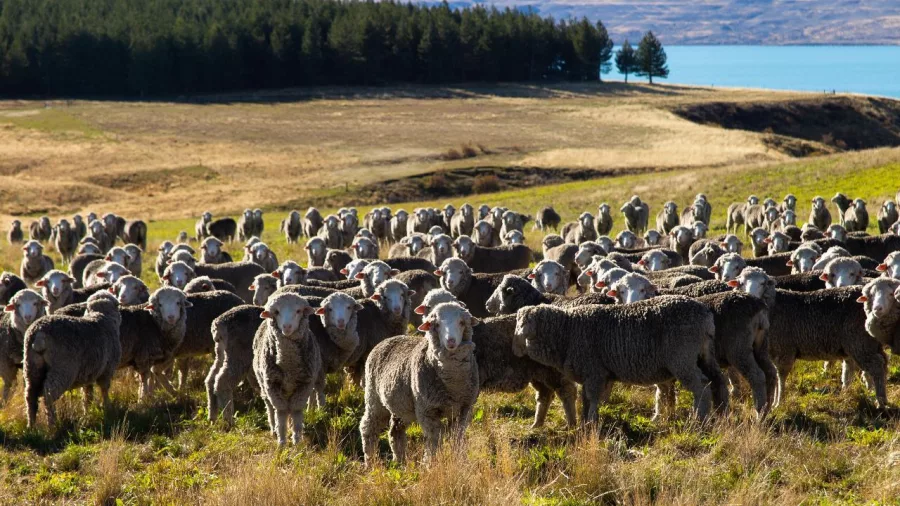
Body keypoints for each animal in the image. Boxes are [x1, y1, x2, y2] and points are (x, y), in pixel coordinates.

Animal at [24, 292, 121, 427]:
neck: (101, 316)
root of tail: (39, 333)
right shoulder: (107, 369)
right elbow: (104, 389)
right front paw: (108, 408)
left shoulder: (89, 373)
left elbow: (87, 395)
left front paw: (87, 412)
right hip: (63, 369)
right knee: (48, 395)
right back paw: (52, 424)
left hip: (32, 367)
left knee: (30, 396)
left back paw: (31, 425)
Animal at [361, 302, 479, 465]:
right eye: (437, 324)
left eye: (461, 322)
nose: (451, 341)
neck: (454, 386)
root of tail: (388, 339)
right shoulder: (426, 410)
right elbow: (434, 439)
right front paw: (430, 463)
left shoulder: (465, 408)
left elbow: (457, 437)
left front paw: (458, 459)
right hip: (374, 399)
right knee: (368, 427)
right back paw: (370, 461)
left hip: (402, 406)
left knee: (395, 430)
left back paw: (399, 460)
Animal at [513, 295, 724, 423]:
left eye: (523, 324)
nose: (514, 347)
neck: (566, 331)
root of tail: (705, 315)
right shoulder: (592, 375)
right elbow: (586, 398)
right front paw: (585, 420)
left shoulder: (594, 372)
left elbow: (593, 398)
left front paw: (592, 421)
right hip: (704, 355)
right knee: (718, 380)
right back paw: (723, 411)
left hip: (682, 358)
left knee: (701, 386)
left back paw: (699, 417)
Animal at [731, 267, 887, 407]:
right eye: (741, 283)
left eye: (763, 283)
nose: (752, 297)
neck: (774, 306)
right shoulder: (772, 352)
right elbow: (774, 374)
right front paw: (775, 401)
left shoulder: (785, 350)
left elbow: (781, 376)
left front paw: (778, 403)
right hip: (868, 343)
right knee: (883, 361)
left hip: (860, 342)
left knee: (877, 366)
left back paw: (881, 401)